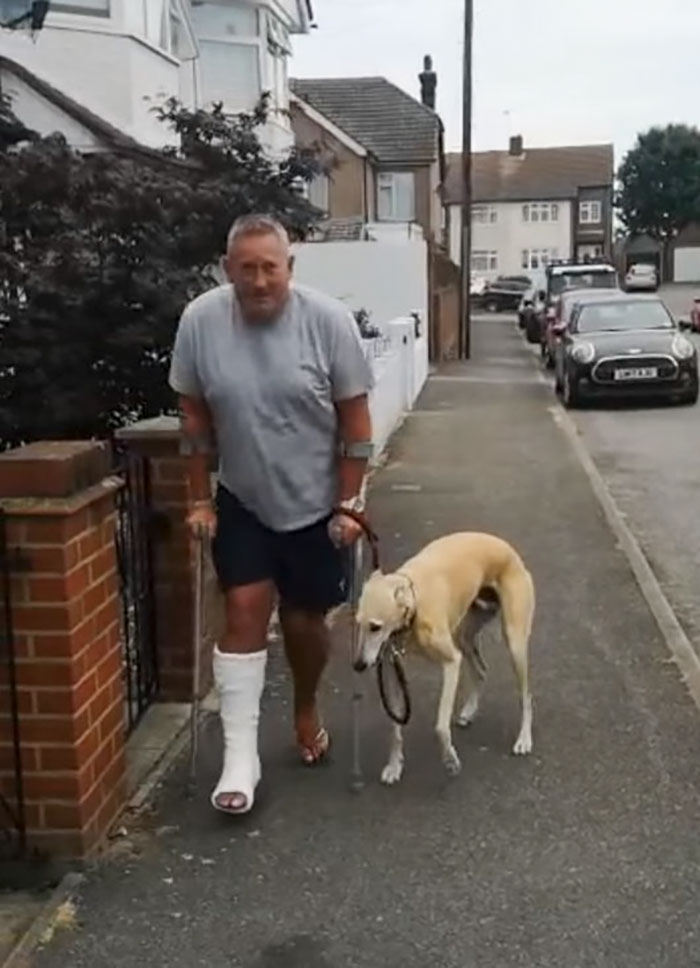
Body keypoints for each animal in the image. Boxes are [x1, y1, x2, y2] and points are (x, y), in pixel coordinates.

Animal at [356, 532, 536, 784]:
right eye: (358, 623)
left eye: (375, 627)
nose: (359, 665)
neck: (415, 603)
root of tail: (509, 549)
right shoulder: (392, 670)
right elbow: (395, 728)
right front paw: (394, 766)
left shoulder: (452, 662)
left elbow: (440, 726)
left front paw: (450, 761)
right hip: (465, 635)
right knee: (481, 669)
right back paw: (469, 711)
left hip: (514, 642)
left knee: (525, 695)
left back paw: (524, 739)